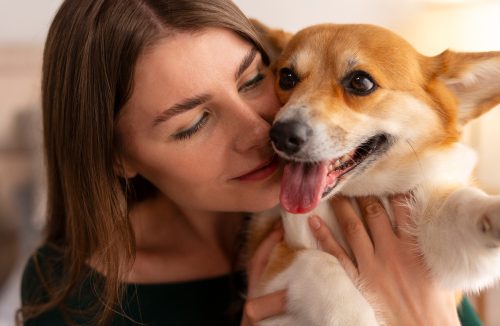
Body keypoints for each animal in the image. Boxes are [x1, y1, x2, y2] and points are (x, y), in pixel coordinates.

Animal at [248, 22, 500, 326]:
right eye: (286, 77)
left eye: (361, 82)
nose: (281, 135)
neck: (361, 192)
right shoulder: (272, 268)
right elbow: (320, 265)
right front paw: (355, 315)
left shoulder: (442, 247)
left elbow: (458, 207)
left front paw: (491, 212)